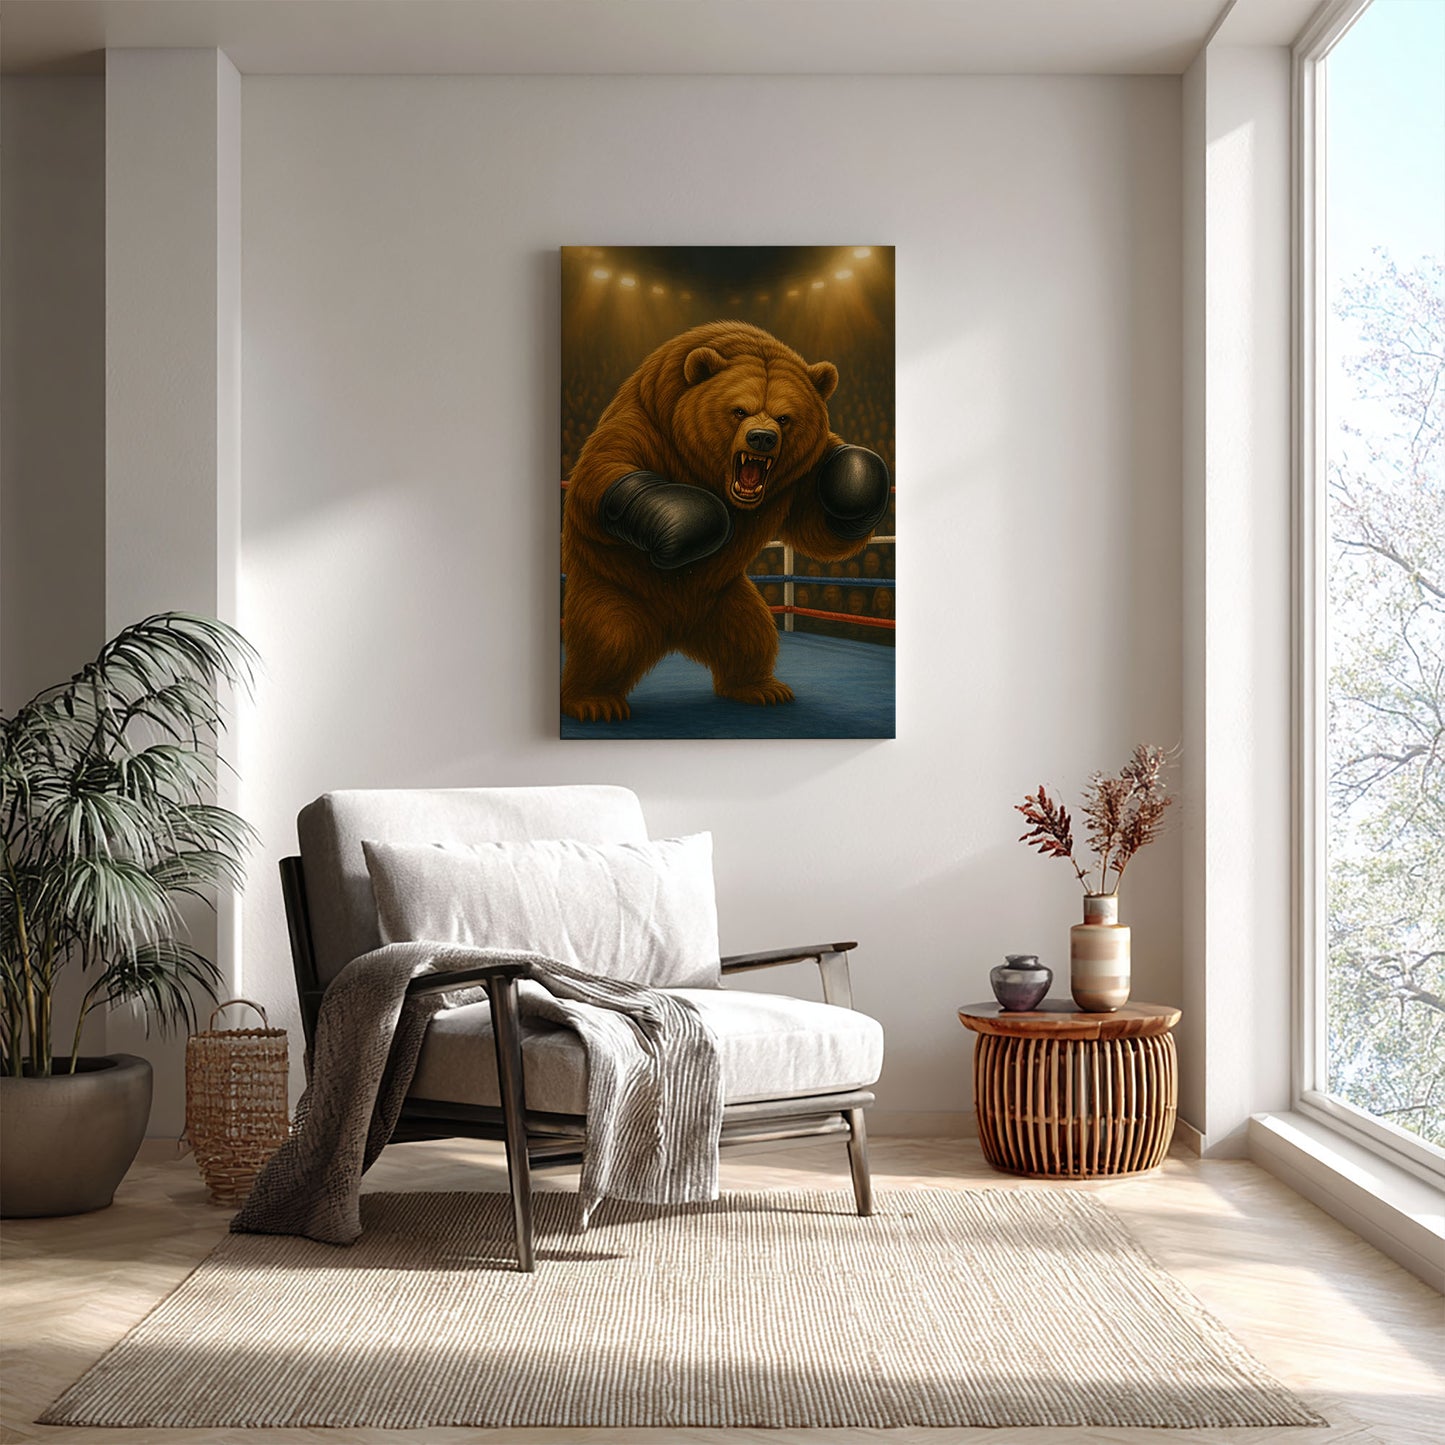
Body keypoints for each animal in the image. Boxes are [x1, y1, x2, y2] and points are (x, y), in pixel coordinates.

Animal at [561, 321, 890, 723]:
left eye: (784, 417)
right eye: (739, 410)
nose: (762, 438)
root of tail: (673, 633)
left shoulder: (798, 478)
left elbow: (818, 526)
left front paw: (856, 476)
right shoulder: (647, 429)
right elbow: (602, 477)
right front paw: (689, 521)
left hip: (722, 600)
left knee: (750, 634)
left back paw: (760, 687)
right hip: (616, 588)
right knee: (608, 637)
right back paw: (593, 701)